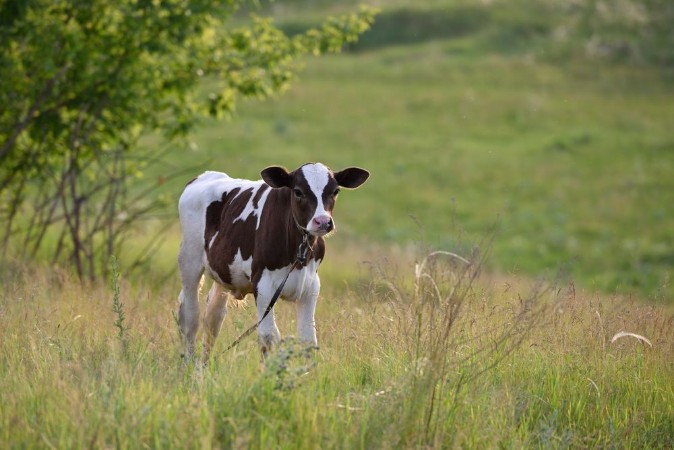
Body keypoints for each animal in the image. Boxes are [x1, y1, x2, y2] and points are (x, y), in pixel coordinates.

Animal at [177, 162, 369, 361]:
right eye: (298, 191)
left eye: (335, 191)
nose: (322, 221)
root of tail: (206, 176)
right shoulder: (263, 286)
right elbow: (268, 337)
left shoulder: (311, 286)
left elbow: (308, 339)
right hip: (189, 261)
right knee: (190, 316)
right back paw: (189, 364)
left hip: (224, 273)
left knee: (213, 317)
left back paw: (203, 367)